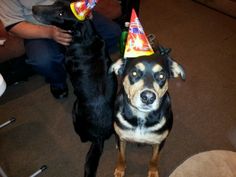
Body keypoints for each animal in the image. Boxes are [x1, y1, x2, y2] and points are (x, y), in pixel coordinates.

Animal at [32, 0, 117, 176]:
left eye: (60, 14)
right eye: (54, 3)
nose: (33, 8)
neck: (86, 37)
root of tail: (99, 137)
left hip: (75, 107)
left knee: (82, 137)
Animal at [109, 46, 185, 177]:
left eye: (161, 76)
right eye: (134, 73)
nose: (148, 97)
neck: (141, 117)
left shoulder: (159, 142)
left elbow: (154, 159)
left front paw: (153, 172)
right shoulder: (122, 138)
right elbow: (122, 156)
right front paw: (120, 170)